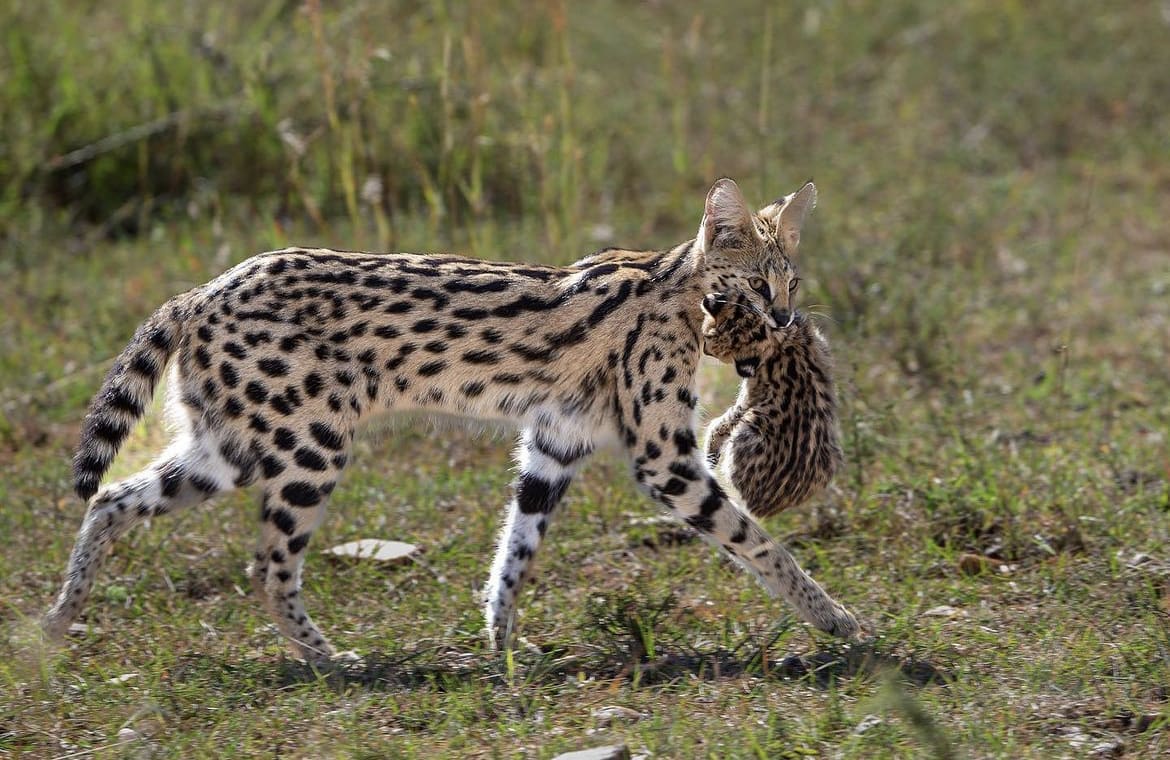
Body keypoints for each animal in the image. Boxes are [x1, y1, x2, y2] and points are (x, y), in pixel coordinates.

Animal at [697, 289, 847, 514]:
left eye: (709, 342)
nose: (705, 350)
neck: (779, 339)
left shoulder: (748, 399)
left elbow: (720, 425)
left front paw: (709, 455)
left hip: (746, 435)